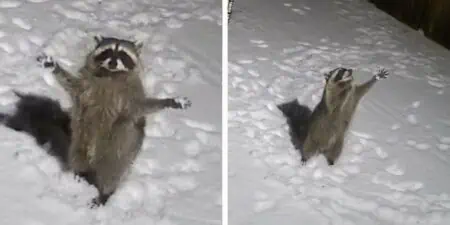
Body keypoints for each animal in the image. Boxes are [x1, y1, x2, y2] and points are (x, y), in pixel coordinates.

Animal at [36, 34, 192, 206]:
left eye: (123, 54)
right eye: (108, 52)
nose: (112, 63)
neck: (111, 74)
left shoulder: (131, 95)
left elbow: (142, 106)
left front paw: (169, 102)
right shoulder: (86, 84)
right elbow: (71, 85)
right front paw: (54, 67)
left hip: (120, 148)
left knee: (111, 172)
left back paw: (104, 193)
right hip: (79, 141)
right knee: (78, 157)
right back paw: (79, 176)